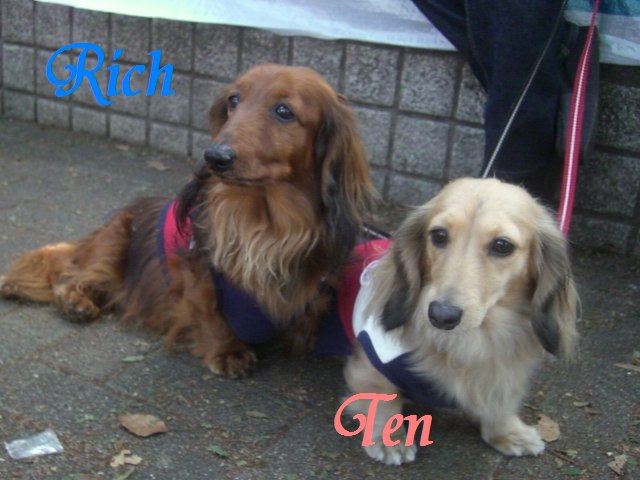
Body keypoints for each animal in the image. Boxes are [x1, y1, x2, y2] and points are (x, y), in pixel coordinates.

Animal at [0, 64, 374, 378]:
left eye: (284, 111)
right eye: (233, 101)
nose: (215, 157)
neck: (265, 223)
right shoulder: (198, 274)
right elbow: (209, 311)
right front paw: (228, 352)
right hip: (116, 242)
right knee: (69, 272)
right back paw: (75, 301)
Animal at [342, 178, 579, 465]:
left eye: (502, 245)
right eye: (439, 235)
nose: (441, 315)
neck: (473, 340)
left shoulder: (501, 375)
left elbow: (498, 405)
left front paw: (507, 432)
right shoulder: (374, 361)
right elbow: (384, 400)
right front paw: (390, 438)